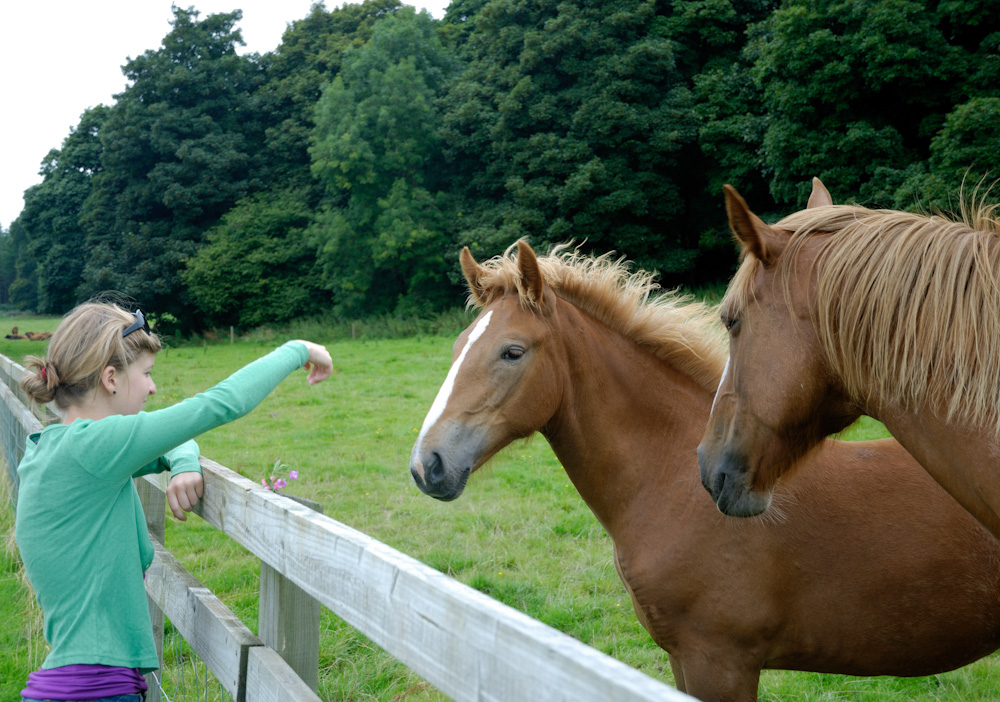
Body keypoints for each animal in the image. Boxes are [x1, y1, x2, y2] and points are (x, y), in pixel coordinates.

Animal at [406, 241, 1000, 702]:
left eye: (512, 352)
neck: (673, 482)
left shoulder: (720, 661)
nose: (426, 465)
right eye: (457, 347)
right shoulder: (681, 658)